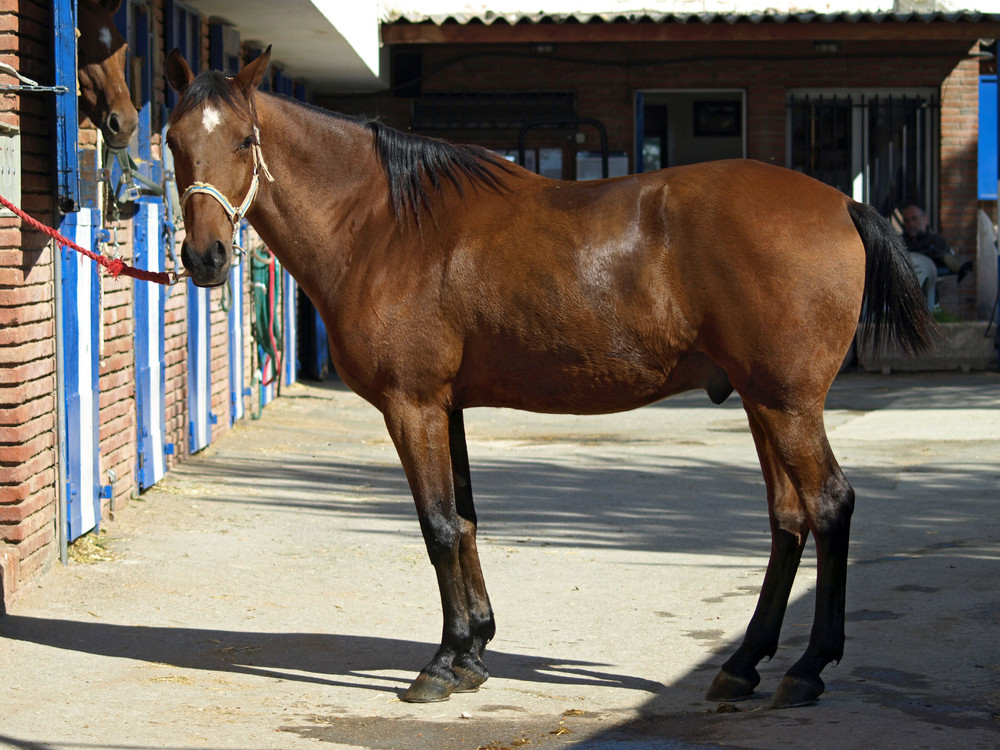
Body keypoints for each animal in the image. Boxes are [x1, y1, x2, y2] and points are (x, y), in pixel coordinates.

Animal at [160, 48, 932, 712]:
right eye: (172, 140)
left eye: (245, 140)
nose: (204, 257)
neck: (382, 224)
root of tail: (839, 204)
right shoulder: (448, 407)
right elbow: (465, 521)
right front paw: (472, 651)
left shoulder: (413, 406)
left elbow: (437, 526)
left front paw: (442, 666)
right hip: (760, 402)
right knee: (788, 518)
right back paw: (742, 665)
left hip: (787, 404)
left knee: (829, 506)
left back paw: (807, 668)